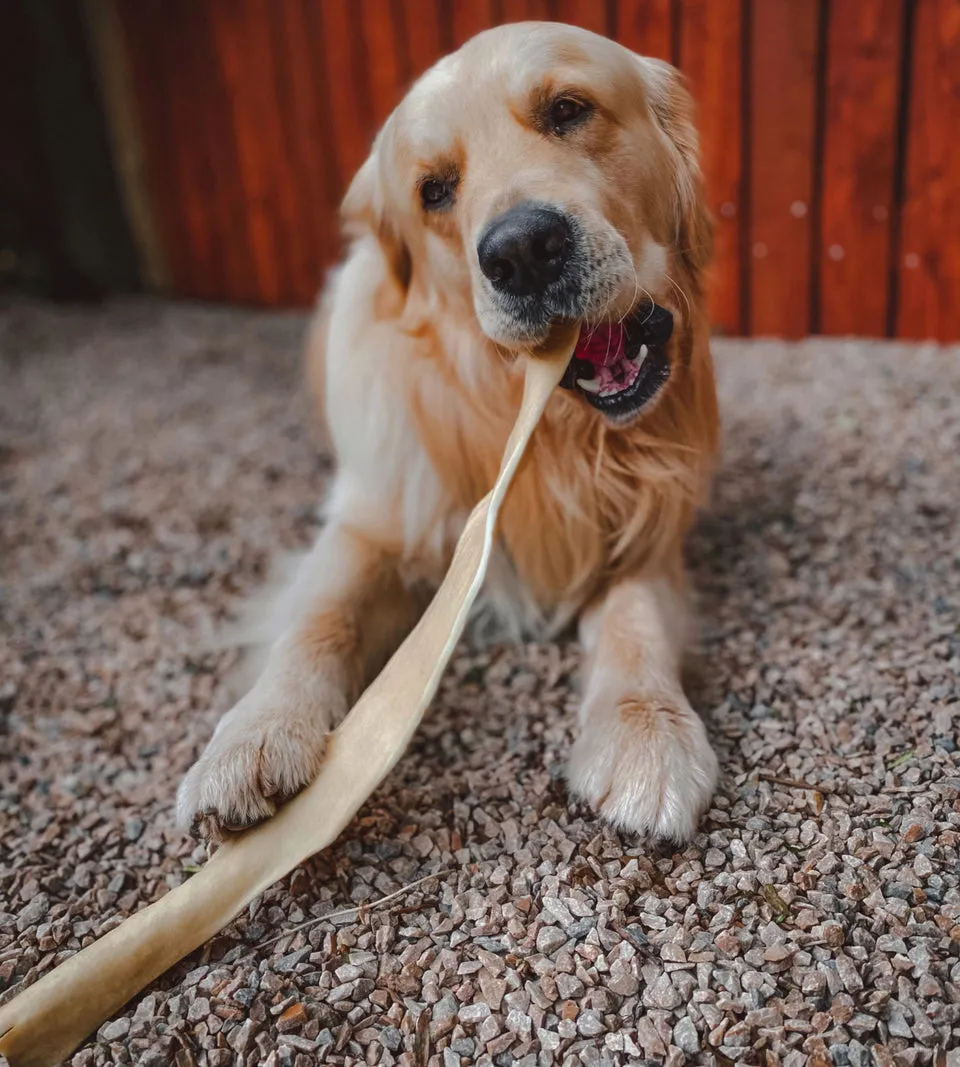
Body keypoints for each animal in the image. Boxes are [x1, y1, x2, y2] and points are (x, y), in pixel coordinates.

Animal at [180, 20, 721, 840]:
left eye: (568, 110)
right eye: (433, 189)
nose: (522, 251)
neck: (547, 433)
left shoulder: (648, 529)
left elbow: (637, 620)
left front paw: (646, 733)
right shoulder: (371, 517)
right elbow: (318, 616)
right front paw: (256, 732)